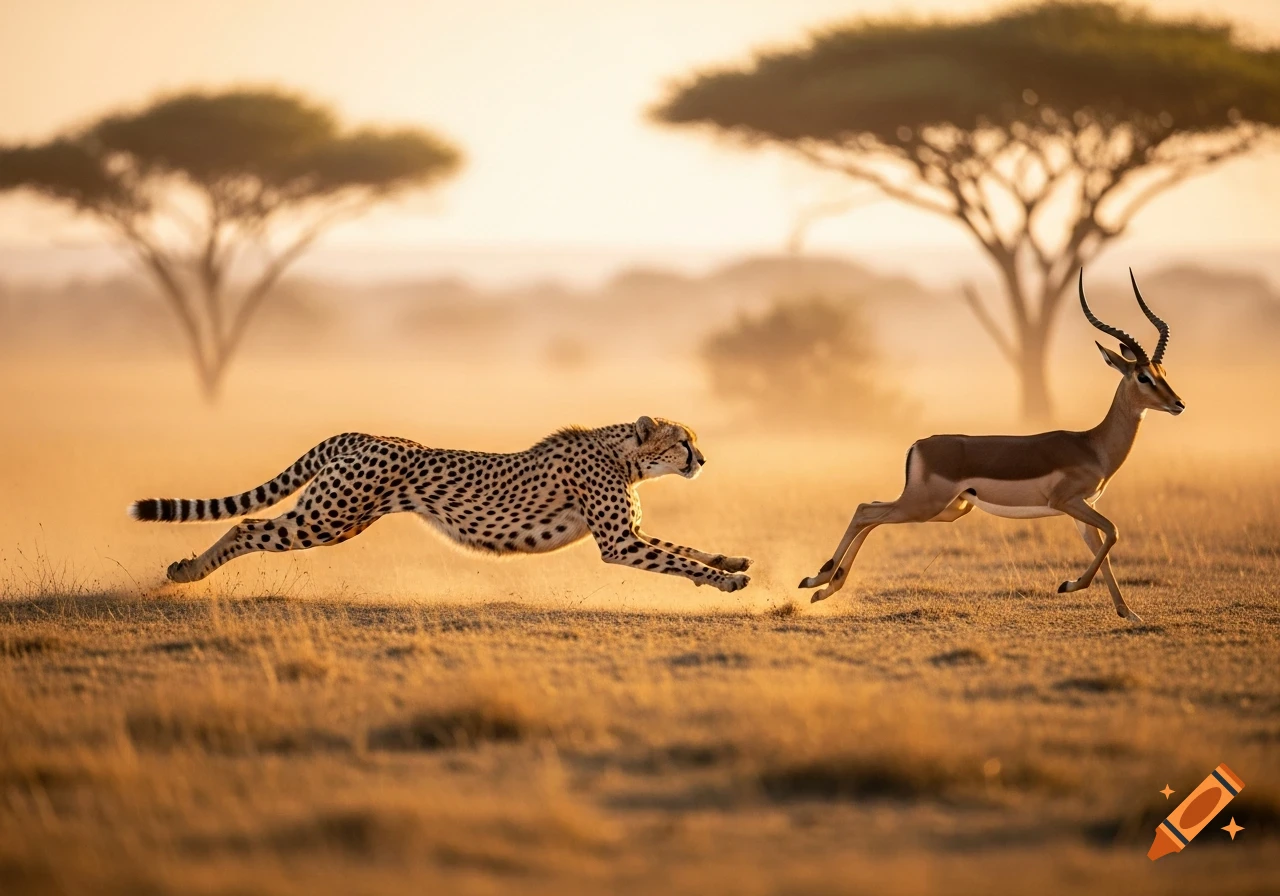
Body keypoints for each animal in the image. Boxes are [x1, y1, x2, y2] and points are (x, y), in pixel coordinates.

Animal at [129, 415, 752, 591]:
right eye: (683, 441)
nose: (702, 459)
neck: (625, 455)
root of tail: (361, 434)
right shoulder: (618, 544)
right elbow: (675, 558)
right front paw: (727, 583)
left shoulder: (630, 536)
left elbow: (683, 546)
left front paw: (732, 561)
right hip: (328, 518)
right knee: (247, 526)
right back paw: (186, 573)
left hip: (340, 518)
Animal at [798, 269, 1183, 623]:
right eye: (1142, 377)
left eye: (1163, 373)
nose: (1178, 404)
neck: (1092, 445)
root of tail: (918, 445)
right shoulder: (1067, 502)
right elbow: (1114, 532)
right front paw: (1067, 585)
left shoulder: (1082, 510)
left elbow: (1103, 547)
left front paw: (1128, 613)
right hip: (924, 506)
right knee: (865, 510)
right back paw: (816, 581)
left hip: (949, 509)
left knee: (872, 511)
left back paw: (824, 586)